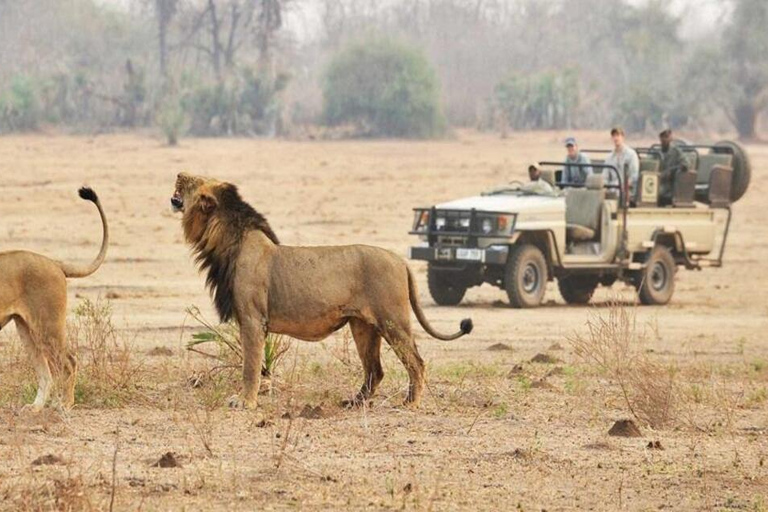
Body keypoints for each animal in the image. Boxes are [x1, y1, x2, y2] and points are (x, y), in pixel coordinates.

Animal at [0, 189, 109, 412]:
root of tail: (55, 263)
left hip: (47, 325)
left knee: (69, 361)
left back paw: (64, 405)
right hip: (27, 329)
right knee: (46, 373)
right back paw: (35, 407)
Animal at [173, 172, 472, 408]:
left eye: (193, 181)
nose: (179, 173)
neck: (225, 241)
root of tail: (401, 261)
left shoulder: (253, 319)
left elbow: (250, 366)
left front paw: (245, 402)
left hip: (392, 321)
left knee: (416, 362)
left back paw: (410, 403)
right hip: (363, 326)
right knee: (375, 370)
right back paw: (355, 402)